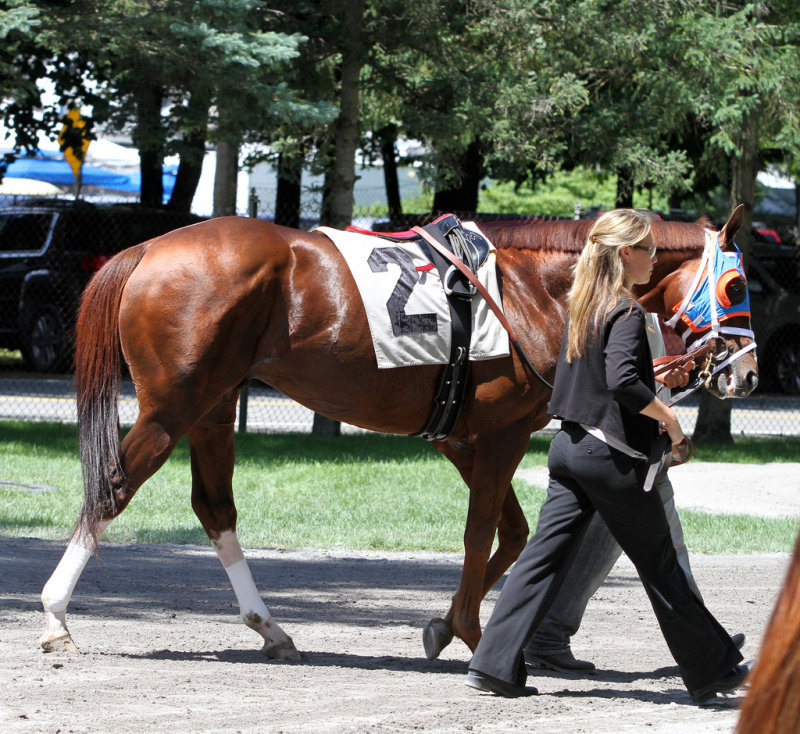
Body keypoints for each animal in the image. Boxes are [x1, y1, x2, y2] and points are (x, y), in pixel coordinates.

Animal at [42, 206, 756, 660]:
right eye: (736, 283)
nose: (745, 372)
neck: (536, 288)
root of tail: (147, 248)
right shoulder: (500, 435)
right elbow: (481, 533)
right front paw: (468, 630)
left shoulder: (464, 437)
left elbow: (512, 533)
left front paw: (446, 624)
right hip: (172, 408)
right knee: (111, 488)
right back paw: (54, 616)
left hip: (214, 407)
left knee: (215, 508)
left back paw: (270, 629)